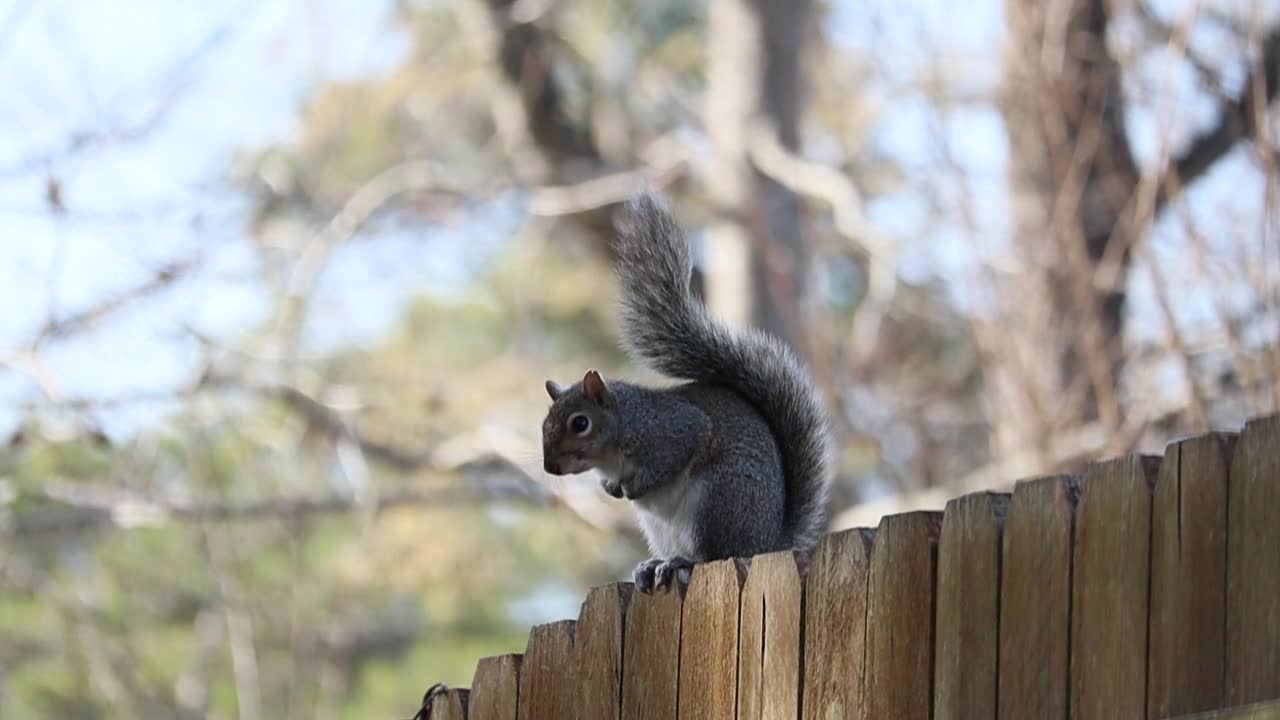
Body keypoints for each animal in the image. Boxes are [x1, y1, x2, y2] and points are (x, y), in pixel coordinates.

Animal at [537, 189, 829, 589]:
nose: (550, 467)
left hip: (718, 502)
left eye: (580, 423)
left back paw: (681, 562)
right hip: (663, 527)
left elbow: (679, 451)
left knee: (714, 555)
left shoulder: (672, 431)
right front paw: (612, 489)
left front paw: (634, 487)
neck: (623, 428)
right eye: (544, 424)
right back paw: (652, 565)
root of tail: (767, 545)